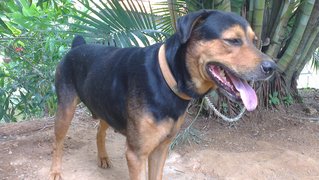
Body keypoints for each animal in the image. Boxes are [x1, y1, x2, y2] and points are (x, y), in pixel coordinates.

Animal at [50, 10, 278, 180]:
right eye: (233, 40)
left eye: (254, 40)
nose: (272, 67)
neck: (167, 79)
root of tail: (77, 46)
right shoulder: (136, 155)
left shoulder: (161, 149)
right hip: (66, 110)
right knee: (58, 143)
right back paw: (55, 171)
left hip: (105, 105)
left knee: (100, 131)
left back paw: (103, 157)